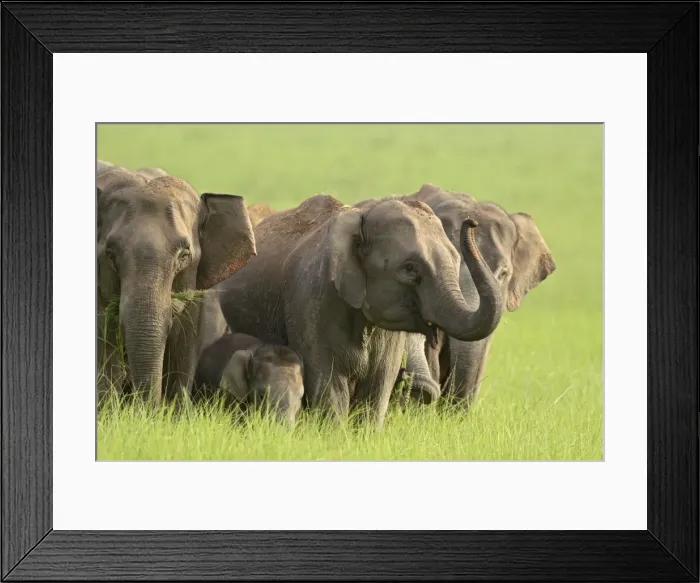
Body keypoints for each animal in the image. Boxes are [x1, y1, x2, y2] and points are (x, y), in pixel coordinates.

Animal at [215, 193, 503, 426]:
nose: (471, 223)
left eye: (455, 259)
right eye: (410, 269)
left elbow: (379, 387)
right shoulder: (312, 300)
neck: (360, 217)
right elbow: (330, 384)